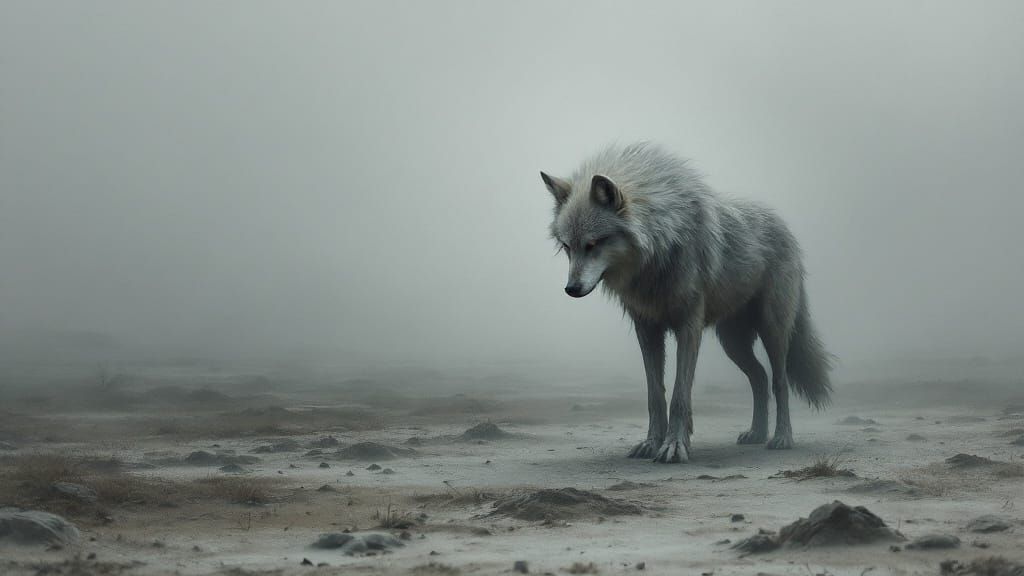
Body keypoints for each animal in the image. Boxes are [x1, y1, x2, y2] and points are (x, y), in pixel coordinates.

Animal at [541, 142, 833, 463]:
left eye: (593, 244)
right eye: (567, 247)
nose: (571, 289)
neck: (657, 250)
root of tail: (786, 229)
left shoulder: (688, 326)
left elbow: (680, 395)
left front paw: (675, 446)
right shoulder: (646, 329)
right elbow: (655, 395)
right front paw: (651, 443)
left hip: (773, 332)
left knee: (779, 381)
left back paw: (782, 438)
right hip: (732, 343)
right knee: (759, 377)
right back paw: (756, 433)